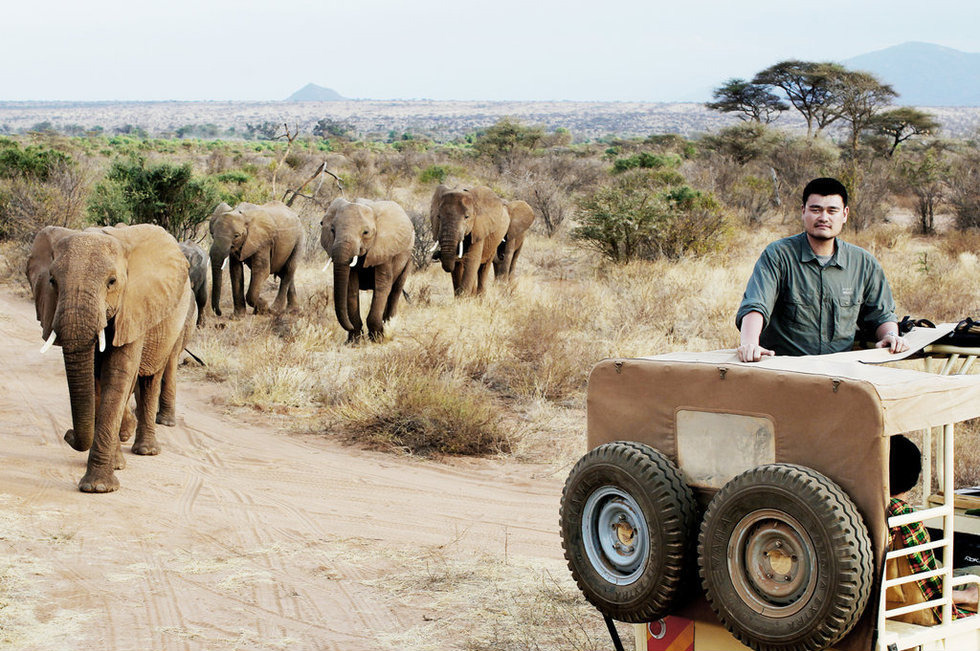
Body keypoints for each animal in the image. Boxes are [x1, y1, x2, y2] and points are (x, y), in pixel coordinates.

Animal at [26, 224, 194, 494]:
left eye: (111, 282)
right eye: (52, 281)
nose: (67, 435)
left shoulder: (134, 306)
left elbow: (118, 374)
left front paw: (98, 487)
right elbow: (95, 378)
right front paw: (112, 466)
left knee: (150, 378)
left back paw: (146, 450)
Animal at [322, 197, 414, 342]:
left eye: (365, 233)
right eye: (332, 230)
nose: (349, 326)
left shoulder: (385, 248)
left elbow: (382, 285)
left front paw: (377, 339)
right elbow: (351, 287)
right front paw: (353, 341)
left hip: (408, 258)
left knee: (395, 290)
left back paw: (388, 328)